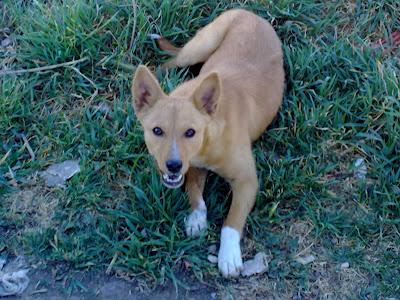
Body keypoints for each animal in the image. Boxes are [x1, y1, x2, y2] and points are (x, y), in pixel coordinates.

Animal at [131, 8, 284, 276]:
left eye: (190, 132)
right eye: (157, 130)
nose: (172, 166)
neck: (209, 137)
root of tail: (249, 12)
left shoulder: (247, 180)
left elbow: (232, 221)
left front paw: (229, 255)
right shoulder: (192, 168)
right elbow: (195, 195)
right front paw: (196, 219)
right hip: (197, 48)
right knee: (171, 61)